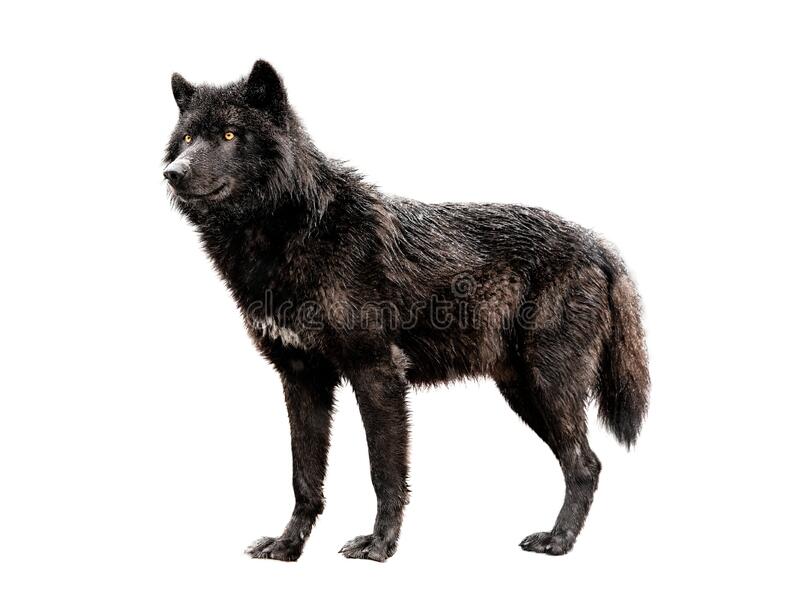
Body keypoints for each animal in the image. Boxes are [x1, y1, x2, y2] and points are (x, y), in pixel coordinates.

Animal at [163, 60, 649, 562]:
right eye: (187, 138)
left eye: (229, 134)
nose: (172, 172)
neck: (295, 230)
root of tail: (599, 244)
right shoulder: (301, 378)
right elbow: (304, 478)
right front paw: (288, 545)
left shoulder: (378, 373)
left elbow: (385, 472)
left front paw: (379, 545)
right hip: (523, 391)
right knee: (585, 463)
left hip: (548, 386)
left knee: (584, 464)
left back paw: (558, 541)